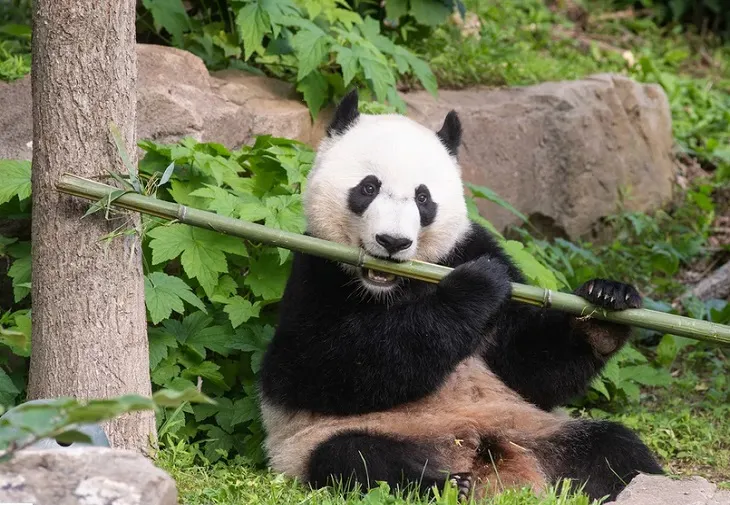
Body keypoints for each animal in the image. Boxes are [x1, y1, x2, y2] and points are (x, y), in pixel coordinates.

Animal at [258, 89, 663, 503]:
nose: (393, 241)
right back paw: (446, 483)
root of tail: (493, 466)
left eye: (423, 199)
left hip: (535, 428)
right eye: (368, 188)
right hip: (324, 442)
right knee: (356, 459)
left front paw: (606, 302)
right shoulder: (315, 271)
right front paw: (476, 287)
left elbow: (530, 368)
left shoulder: (470, 246)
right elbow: (315, 368)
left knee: (612, 448)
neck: (395, 287)